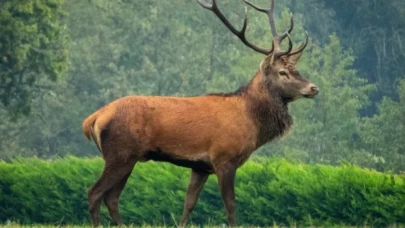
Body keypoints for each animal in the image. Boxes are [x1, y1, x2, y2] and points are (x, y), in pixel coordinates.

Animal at [80, 0, 318, 225]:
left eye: (297, 70)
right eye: (283, 72)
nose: (314, 88)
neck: (251, 122)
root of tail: (94, 118)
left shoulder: (200, 167)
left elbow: (189, 203)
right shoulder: (224, 158)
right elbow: (230, 204)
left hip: (128, 157)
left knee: (112, 197)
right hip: (120, 154)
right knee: (95, 192)